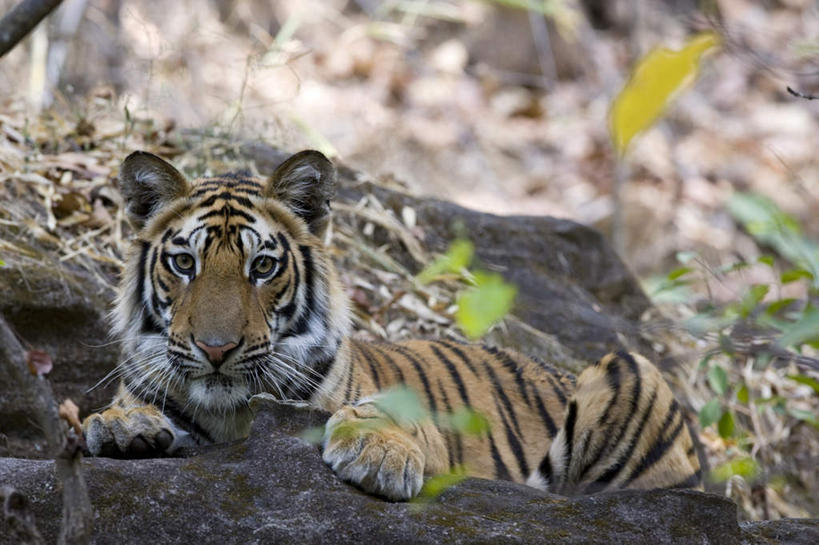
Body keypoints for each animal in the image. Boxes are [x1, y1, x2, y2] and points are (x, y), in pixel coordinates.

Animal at [80, 151, 700, 500]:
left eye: (263, 267)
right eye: (185, 263)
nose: (215, 349)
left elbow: (387, 410)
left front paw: (378, 454)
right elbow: (125, 408)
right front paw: (122, 425)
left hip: (631, 368)